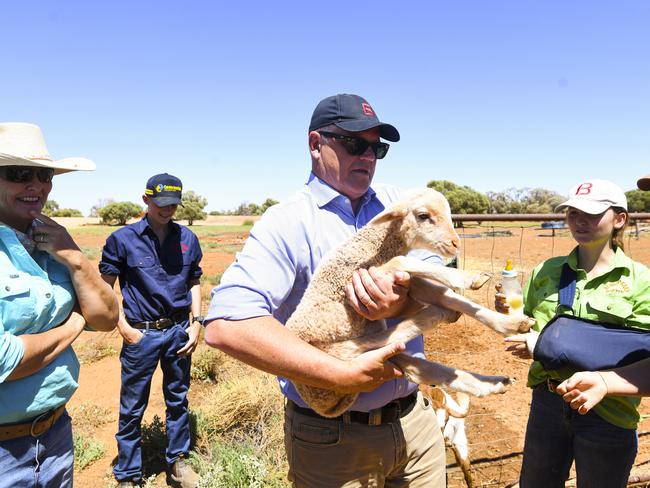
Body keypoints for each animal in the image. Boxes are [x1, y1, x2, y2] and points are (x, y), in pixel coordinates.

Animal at [284, 189, 532, 418]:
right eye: (423, 215)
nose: (455, 244)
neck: (370, 249)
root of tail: (324, 406)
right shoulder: (356, 280)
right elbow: (403, 261)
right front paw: (467, 278)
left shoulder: (404, 281)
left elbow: (443, 292)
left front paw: (510, 322)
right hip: (337, 356)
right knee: (379, 341)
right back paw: (437, 315)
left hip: (388, 357)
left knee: (424, 369)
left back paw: (494, 382)